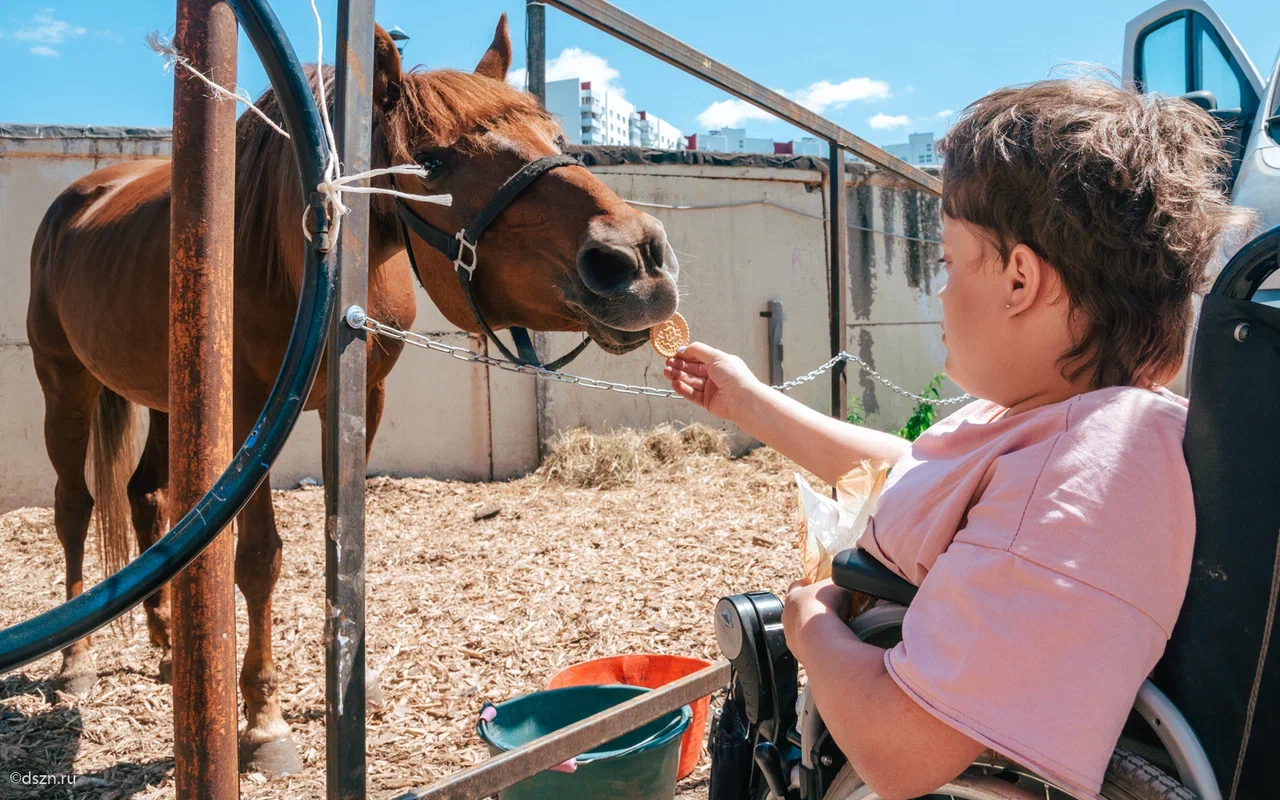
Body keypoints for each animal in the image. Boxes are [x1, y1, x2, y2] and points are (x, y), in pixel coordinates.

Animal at [24, 15, 675, 773]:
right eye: (433, 163)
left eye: (557, 137)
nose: (635, 260)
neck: (297, 252)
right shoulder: (248, 417)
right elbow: (258, 560)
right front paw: (264, 722)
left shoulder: (363, 399)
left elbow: (346, 551)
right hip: (63, 382)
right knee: (75, 508)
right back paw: (75, 661)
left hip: (162, 398)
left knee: (146, 496)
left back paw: (162, 645)